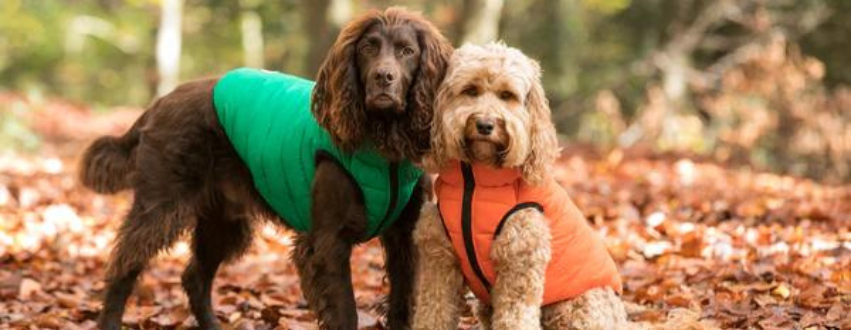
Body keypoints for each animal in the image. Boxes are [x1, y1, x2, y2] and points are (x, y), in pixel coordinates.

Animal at [80, 7, 452, 330]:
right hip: (162, 205)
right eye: (367, 48)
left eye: (407, 51)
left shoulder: (404, 237)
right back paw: (109, 321)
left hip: (223, 220)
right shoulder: (327, 241)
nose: (382, 77)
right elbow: (345, 312)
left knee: (194, 277)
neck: (382, 147)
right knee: (124, 264)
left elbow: (403, 302)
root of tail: (160, 102)